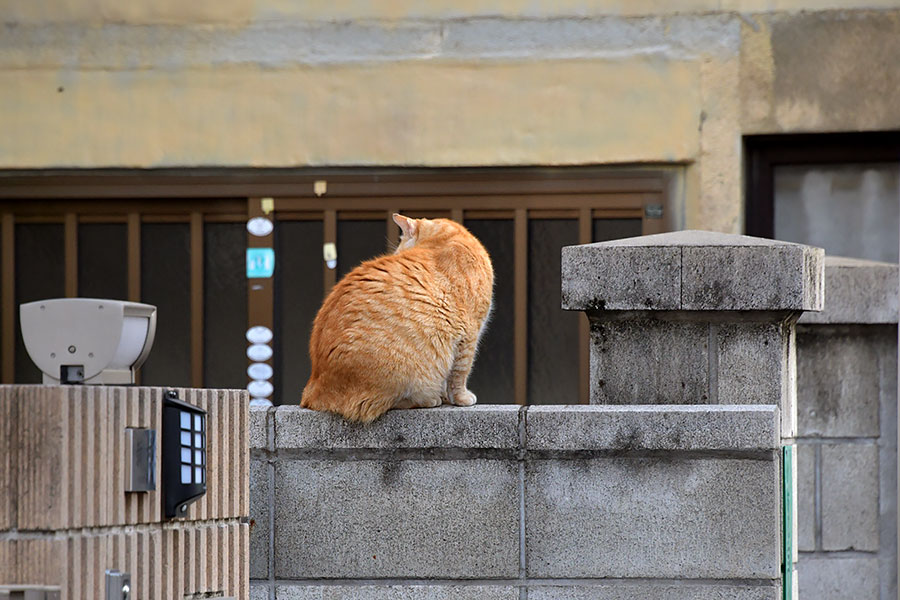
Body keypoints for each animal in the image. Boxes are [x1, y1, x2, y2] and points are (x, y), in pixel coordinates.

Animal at [300, 214, 492, 422]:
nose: (396, 253)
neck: (445, 241)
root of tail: (314, 388)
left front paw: (447, 396)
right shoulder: (469, 336)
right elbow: (460, 374)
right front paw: (461, 398)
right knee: (384, 403)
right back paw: (428, 399)